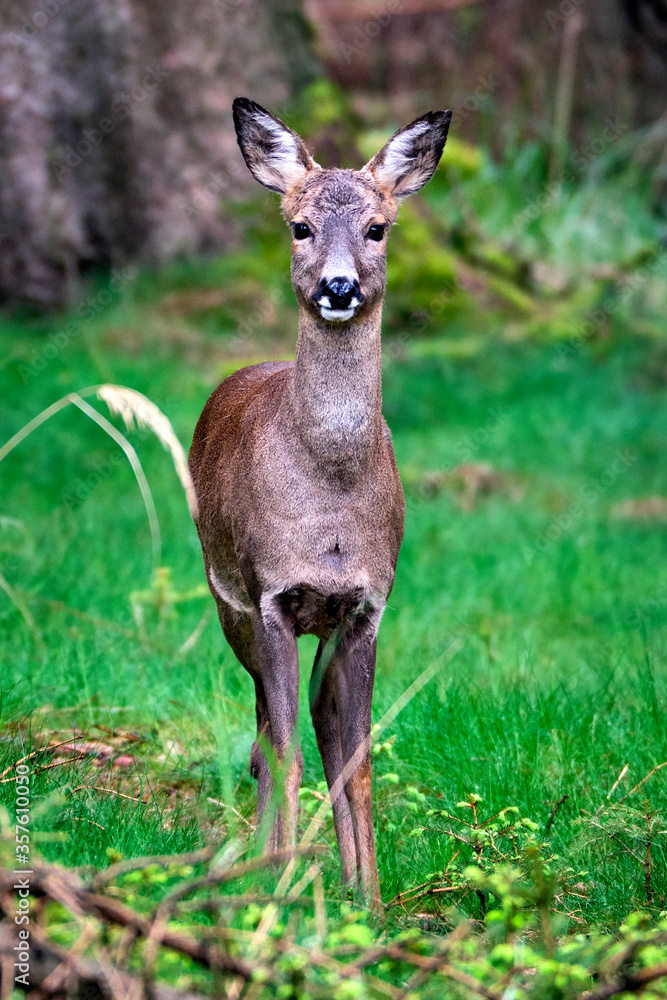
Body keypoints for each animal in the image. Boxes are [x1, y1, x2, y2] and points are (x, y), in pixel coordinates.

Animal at [189, 97, 451, 905]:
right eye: (299, 226)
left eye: (379, 228)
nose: (339, 288)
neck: (329, 503)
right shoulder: (270, 593)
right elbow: (287, 753)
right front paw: (275, 892)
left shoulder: (365, 605)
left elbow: (355, 758)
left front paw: (369, 900)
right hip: (227, 602)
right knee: (265, 735)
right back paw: (259, 869)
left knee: (313, 723)